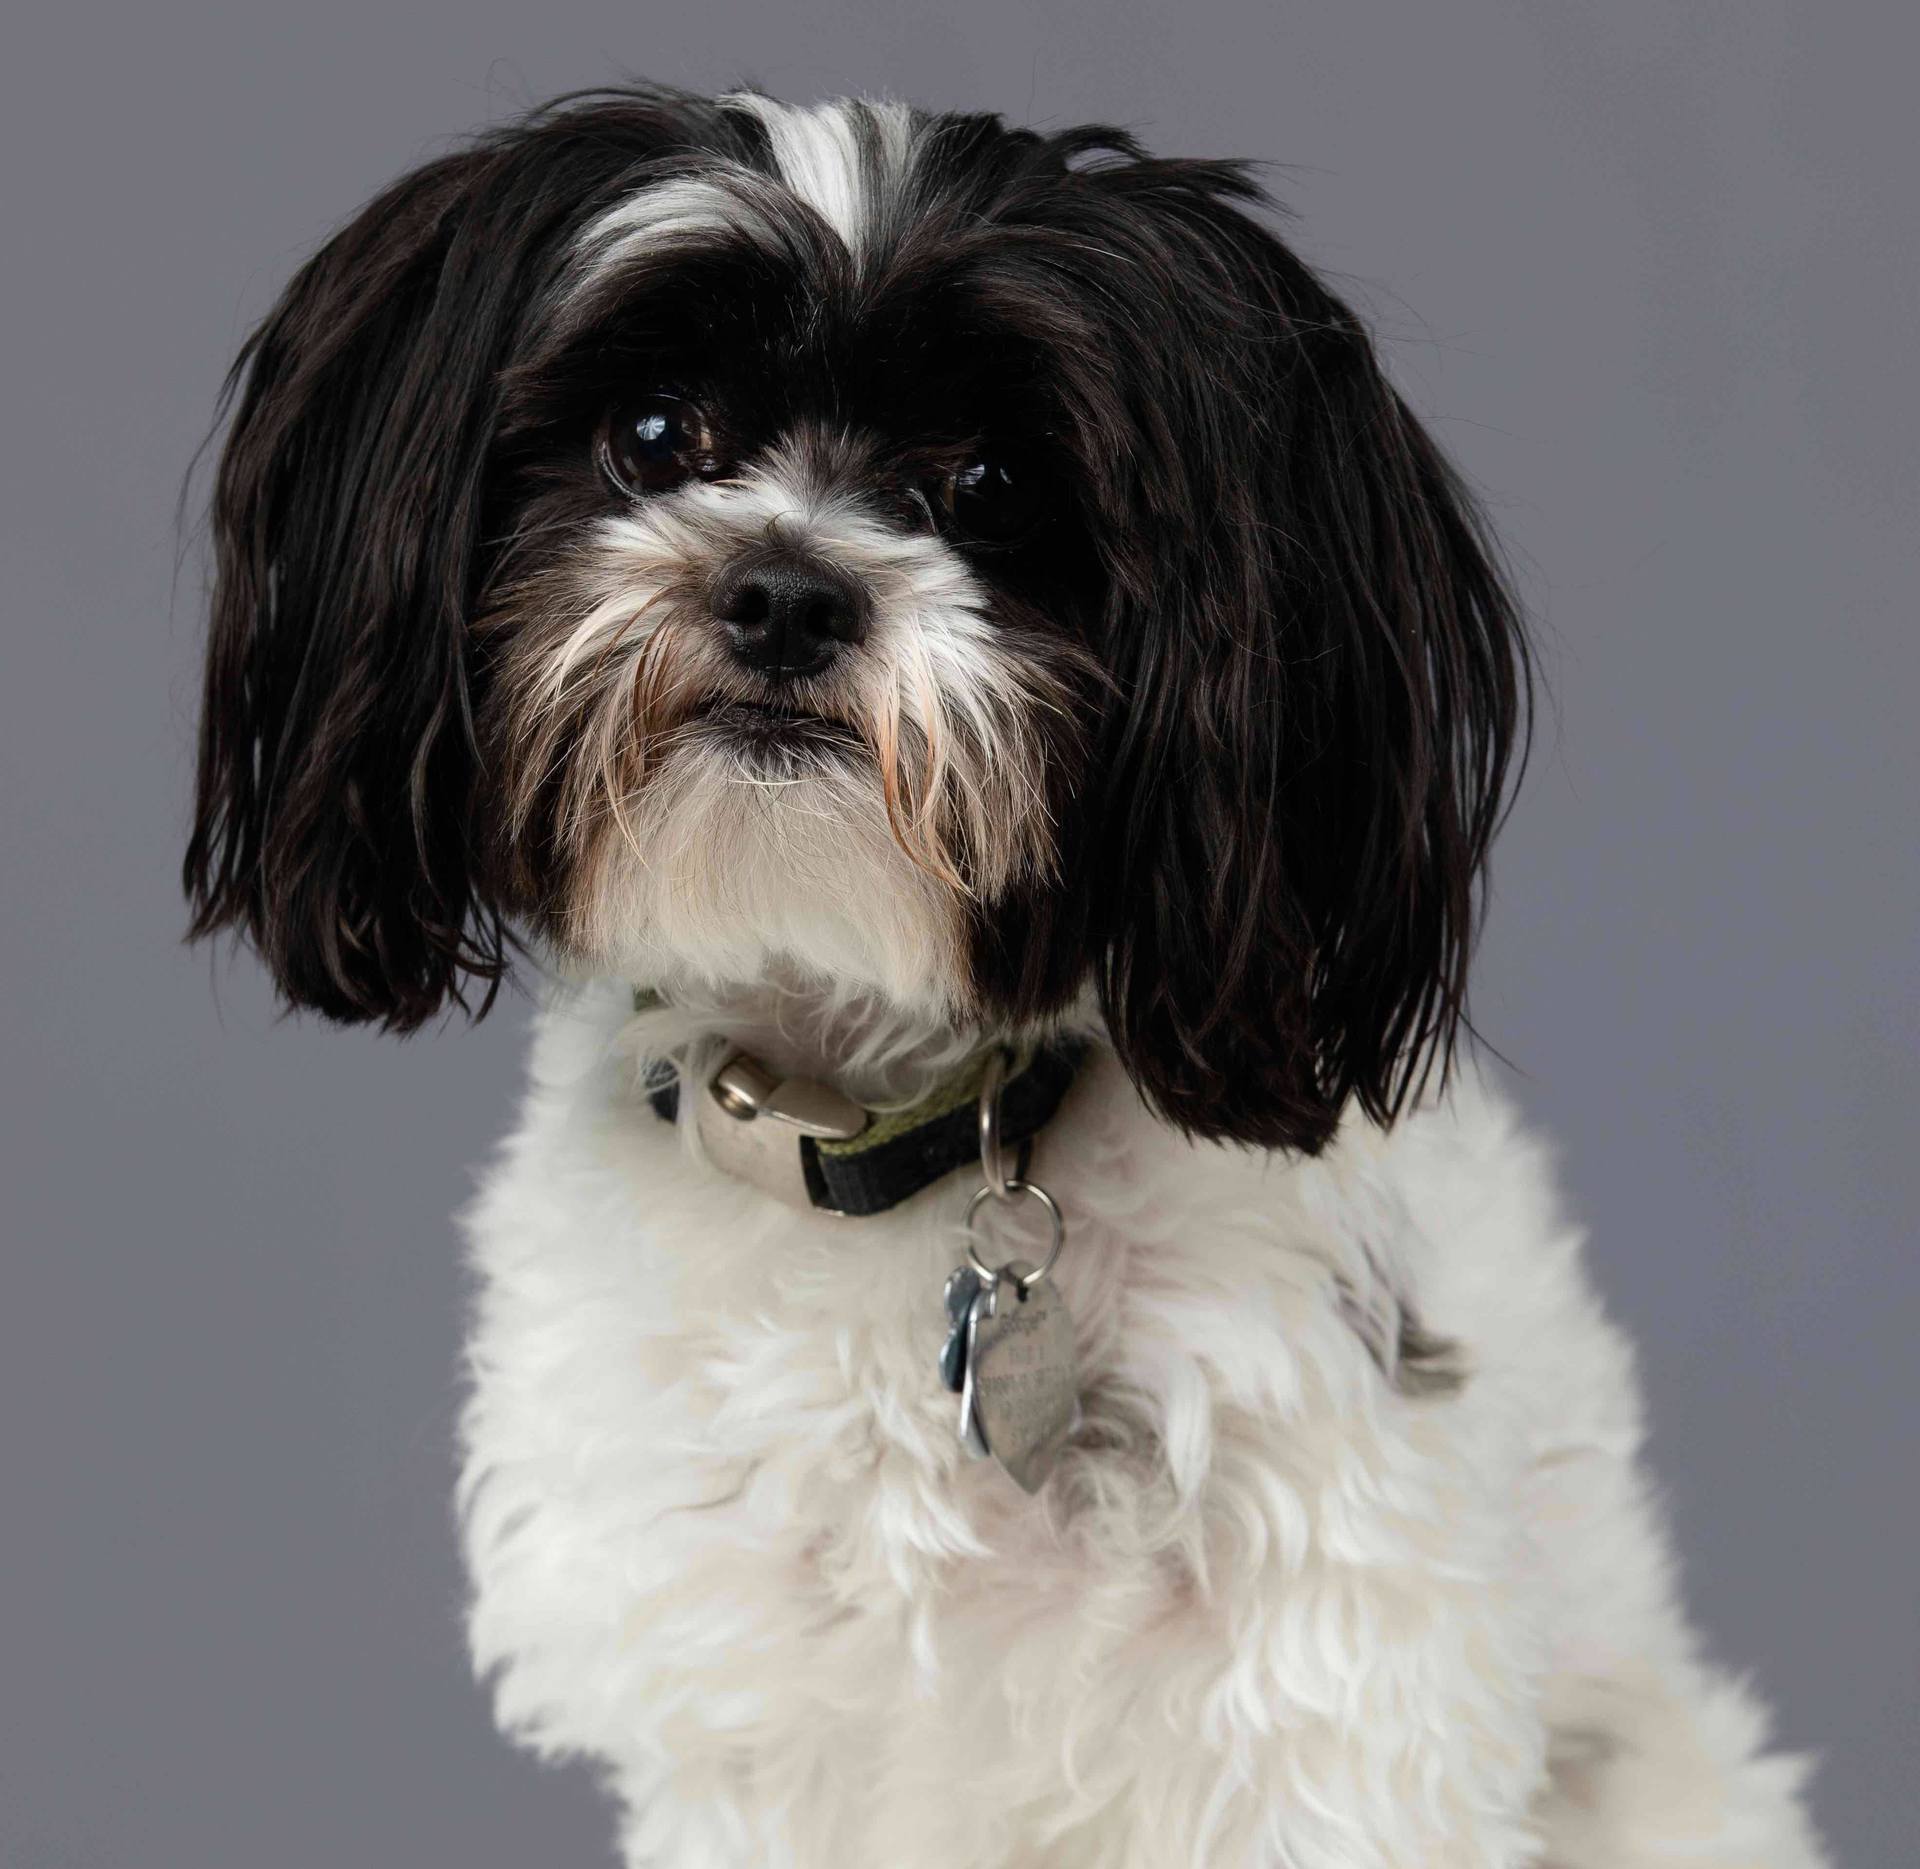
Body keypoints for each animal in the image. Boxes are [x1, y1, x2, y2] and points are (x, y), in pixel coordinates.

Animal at [183, 80, 1827, 1859]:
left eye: (991, 481)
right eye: (656, 435)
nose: (784, 589)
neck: (886, 1127)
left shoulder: (1330, 1705)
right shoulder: (747, 1734)